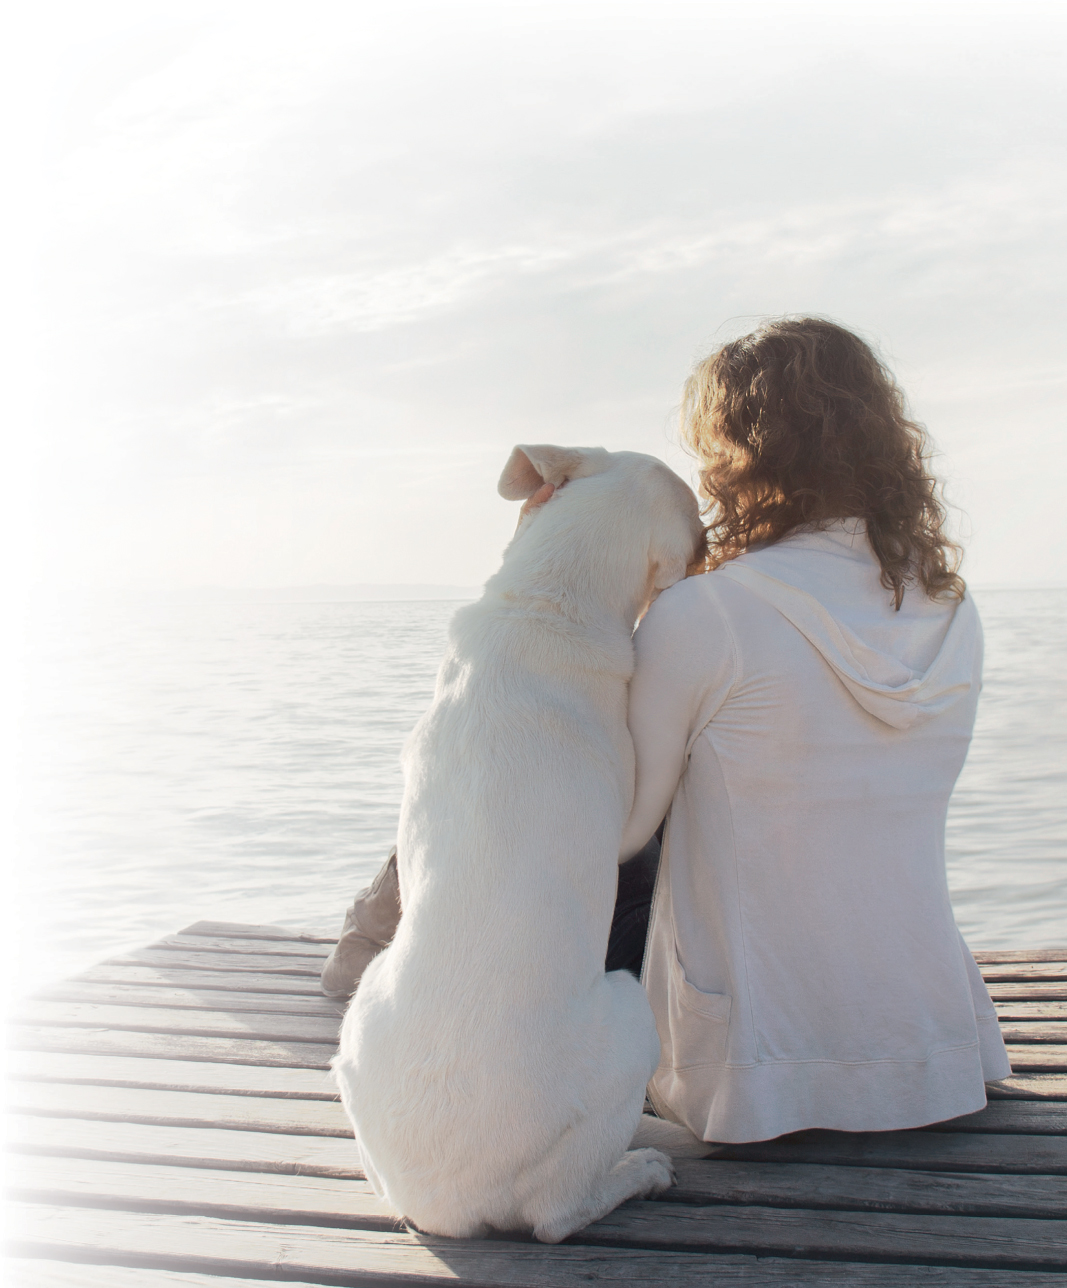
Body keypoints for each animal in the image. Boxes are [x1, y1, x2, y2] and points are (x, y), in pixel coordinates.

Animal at [329, 443, 706, 1236]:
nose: (716, 534)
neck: (547, 601)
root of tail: (451, 1208)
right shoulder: (629, 818)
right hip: (630, 1010)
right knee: (558, 1213)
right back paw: (636, 1172)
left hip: (359, 1022)